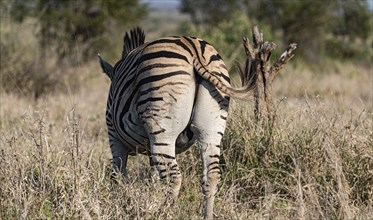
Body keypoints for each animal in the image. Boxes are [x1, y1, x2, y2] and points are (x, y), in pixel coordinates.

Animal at [97, 27, 254, 218]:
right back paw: (206, 215)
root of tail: (194, 48)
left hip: (162, 128)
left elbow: (118, 174)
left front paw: (122, 202)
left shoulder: (114, 136)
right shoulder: (149, 147)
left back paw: (164, 213)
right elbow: (152, 177)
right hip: (212, 127)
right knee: (212, 174)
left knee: (173, 176)